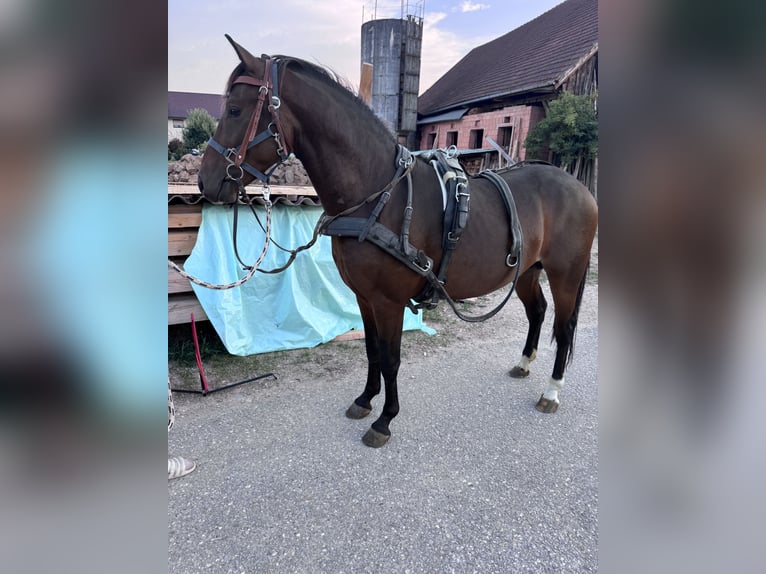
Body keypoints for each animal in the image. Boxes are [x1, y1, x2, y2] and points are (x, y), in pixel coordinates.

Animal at [198, 36, 598, 448]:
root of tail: (579, 186)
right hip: (528, 271)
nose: (205, 181)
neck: (377, 195)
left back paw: (551, 391)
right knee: (538, 311)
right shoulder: (364, 296)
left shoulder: (388, 300)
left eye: (234, 109)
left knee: (564, 326)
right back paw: (523, 363)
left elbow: (390, 358)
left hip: (566, 274)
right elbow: (372, 351)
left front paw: (385, 419)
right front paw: (365, 400)